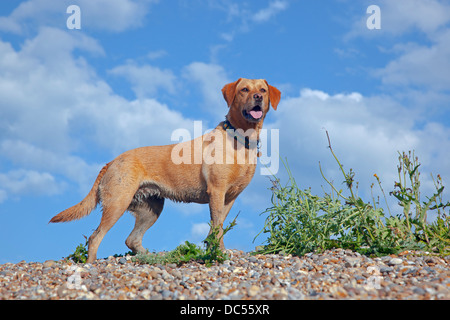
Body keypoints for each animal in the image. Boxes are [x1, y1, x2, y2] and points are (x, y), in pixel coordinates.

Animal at [50, 78, 282, 262]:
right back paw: (91, 264)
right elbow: (217, 228)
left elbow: (217, 227)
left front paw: (213, 249)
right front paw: (219, 253)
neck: (241, 138)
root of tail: (111, 161)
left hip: (151, 208)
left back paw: (152, 256)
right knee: (95, 237)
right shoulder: (216, 191)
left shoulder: (229, 197)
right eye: (244, 89)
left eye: (263, 90)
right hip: (117, 202)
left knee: (131, 239)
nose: (257, 97)